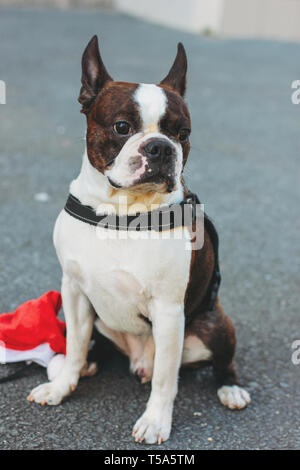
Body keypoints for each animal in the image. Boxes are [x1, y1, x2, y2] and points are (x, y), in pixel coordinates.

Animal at [27, 35, 248, 444]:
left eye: (183, 134)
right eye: (121, 126)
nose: (161, 147)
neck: (121, 214)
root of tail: (138, 358)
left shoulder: (168, 310)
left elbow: (165, 378)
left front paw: (156, 421)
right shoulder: (74, 292)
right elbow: (75, 343)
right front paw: (63, 385)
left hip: (215, 323)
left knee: (213, 363)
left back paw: (232, 388)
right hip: (101, 318)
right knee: (92, 343)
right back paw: (89, 365)